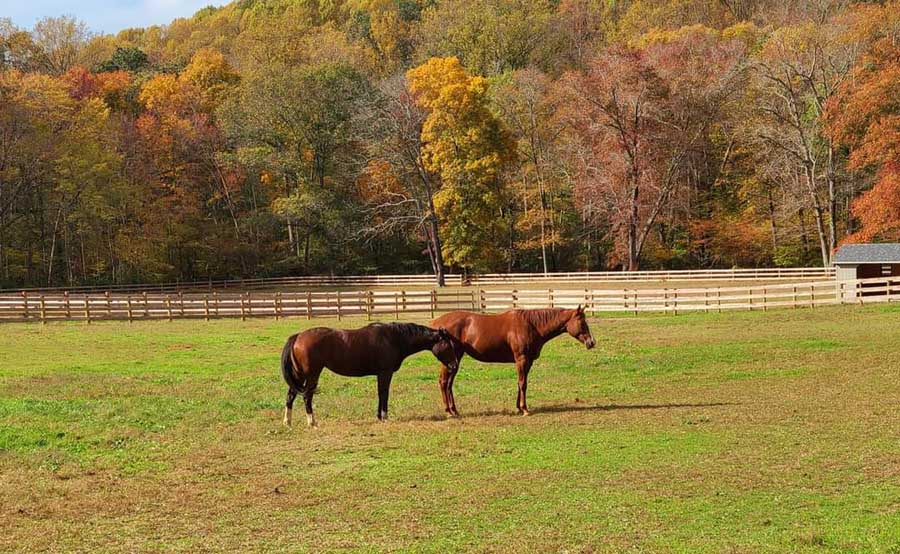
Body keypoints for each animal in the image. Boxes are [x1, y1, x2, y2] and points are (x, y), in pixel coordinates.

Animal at [280, 322, 459, 427]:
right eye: (448, 345)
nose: (454, 365)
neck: (393, 338)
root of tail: (298, 336)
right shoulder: (385, 373)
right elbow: (384, 393)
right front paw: (384, 417)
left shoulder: (380, 374)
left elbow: (380, 394)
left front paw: (379, 416)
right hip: (311, 375)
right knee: (307, 397)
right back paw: (312, 422)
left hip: (299, 375)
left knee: (291, 395)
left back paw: (288, 422)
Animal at [430, 306, 595, 417]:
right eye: (582, 323)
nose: (591, 342)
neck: (532, 325)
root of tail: (437, 322)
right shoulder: (521, 359)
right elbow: (523, 383)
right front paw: (525, 409)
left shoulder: (528, 361)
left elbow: (520, 382)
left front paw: (519, 407)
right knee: (444, 382)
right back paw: (449, 411)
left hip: (455, 359)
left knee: (449, 383)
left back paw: (454, 410)